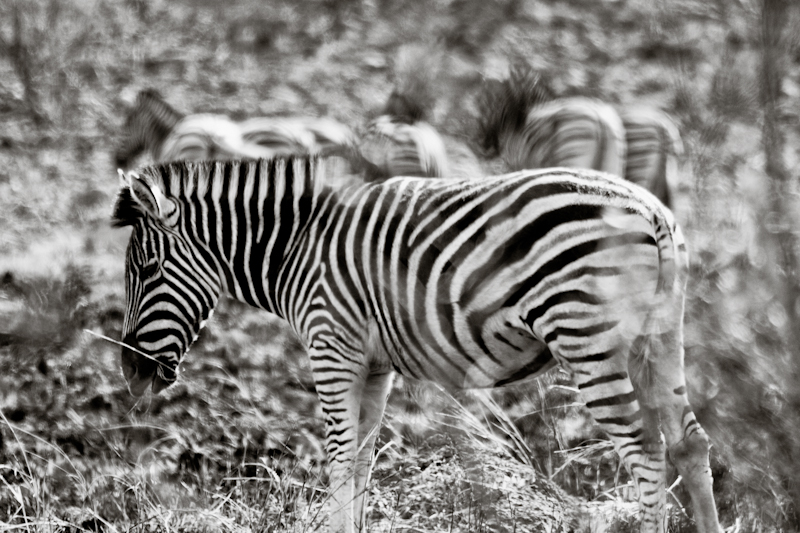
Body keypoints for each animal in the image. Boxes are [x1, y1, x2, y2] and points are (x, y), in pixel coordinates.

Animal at [112, 157, 721, 533]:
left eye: (148, 270)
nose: (130, 372)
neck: (299, 245)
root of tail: (652, 210)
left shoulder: (332, 348)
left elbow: (340, 461)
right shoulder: (373, 364)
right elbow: (360, 461)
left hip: (584, 335)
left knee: (646, 449)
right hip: (659, 339)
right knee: (689, 443)